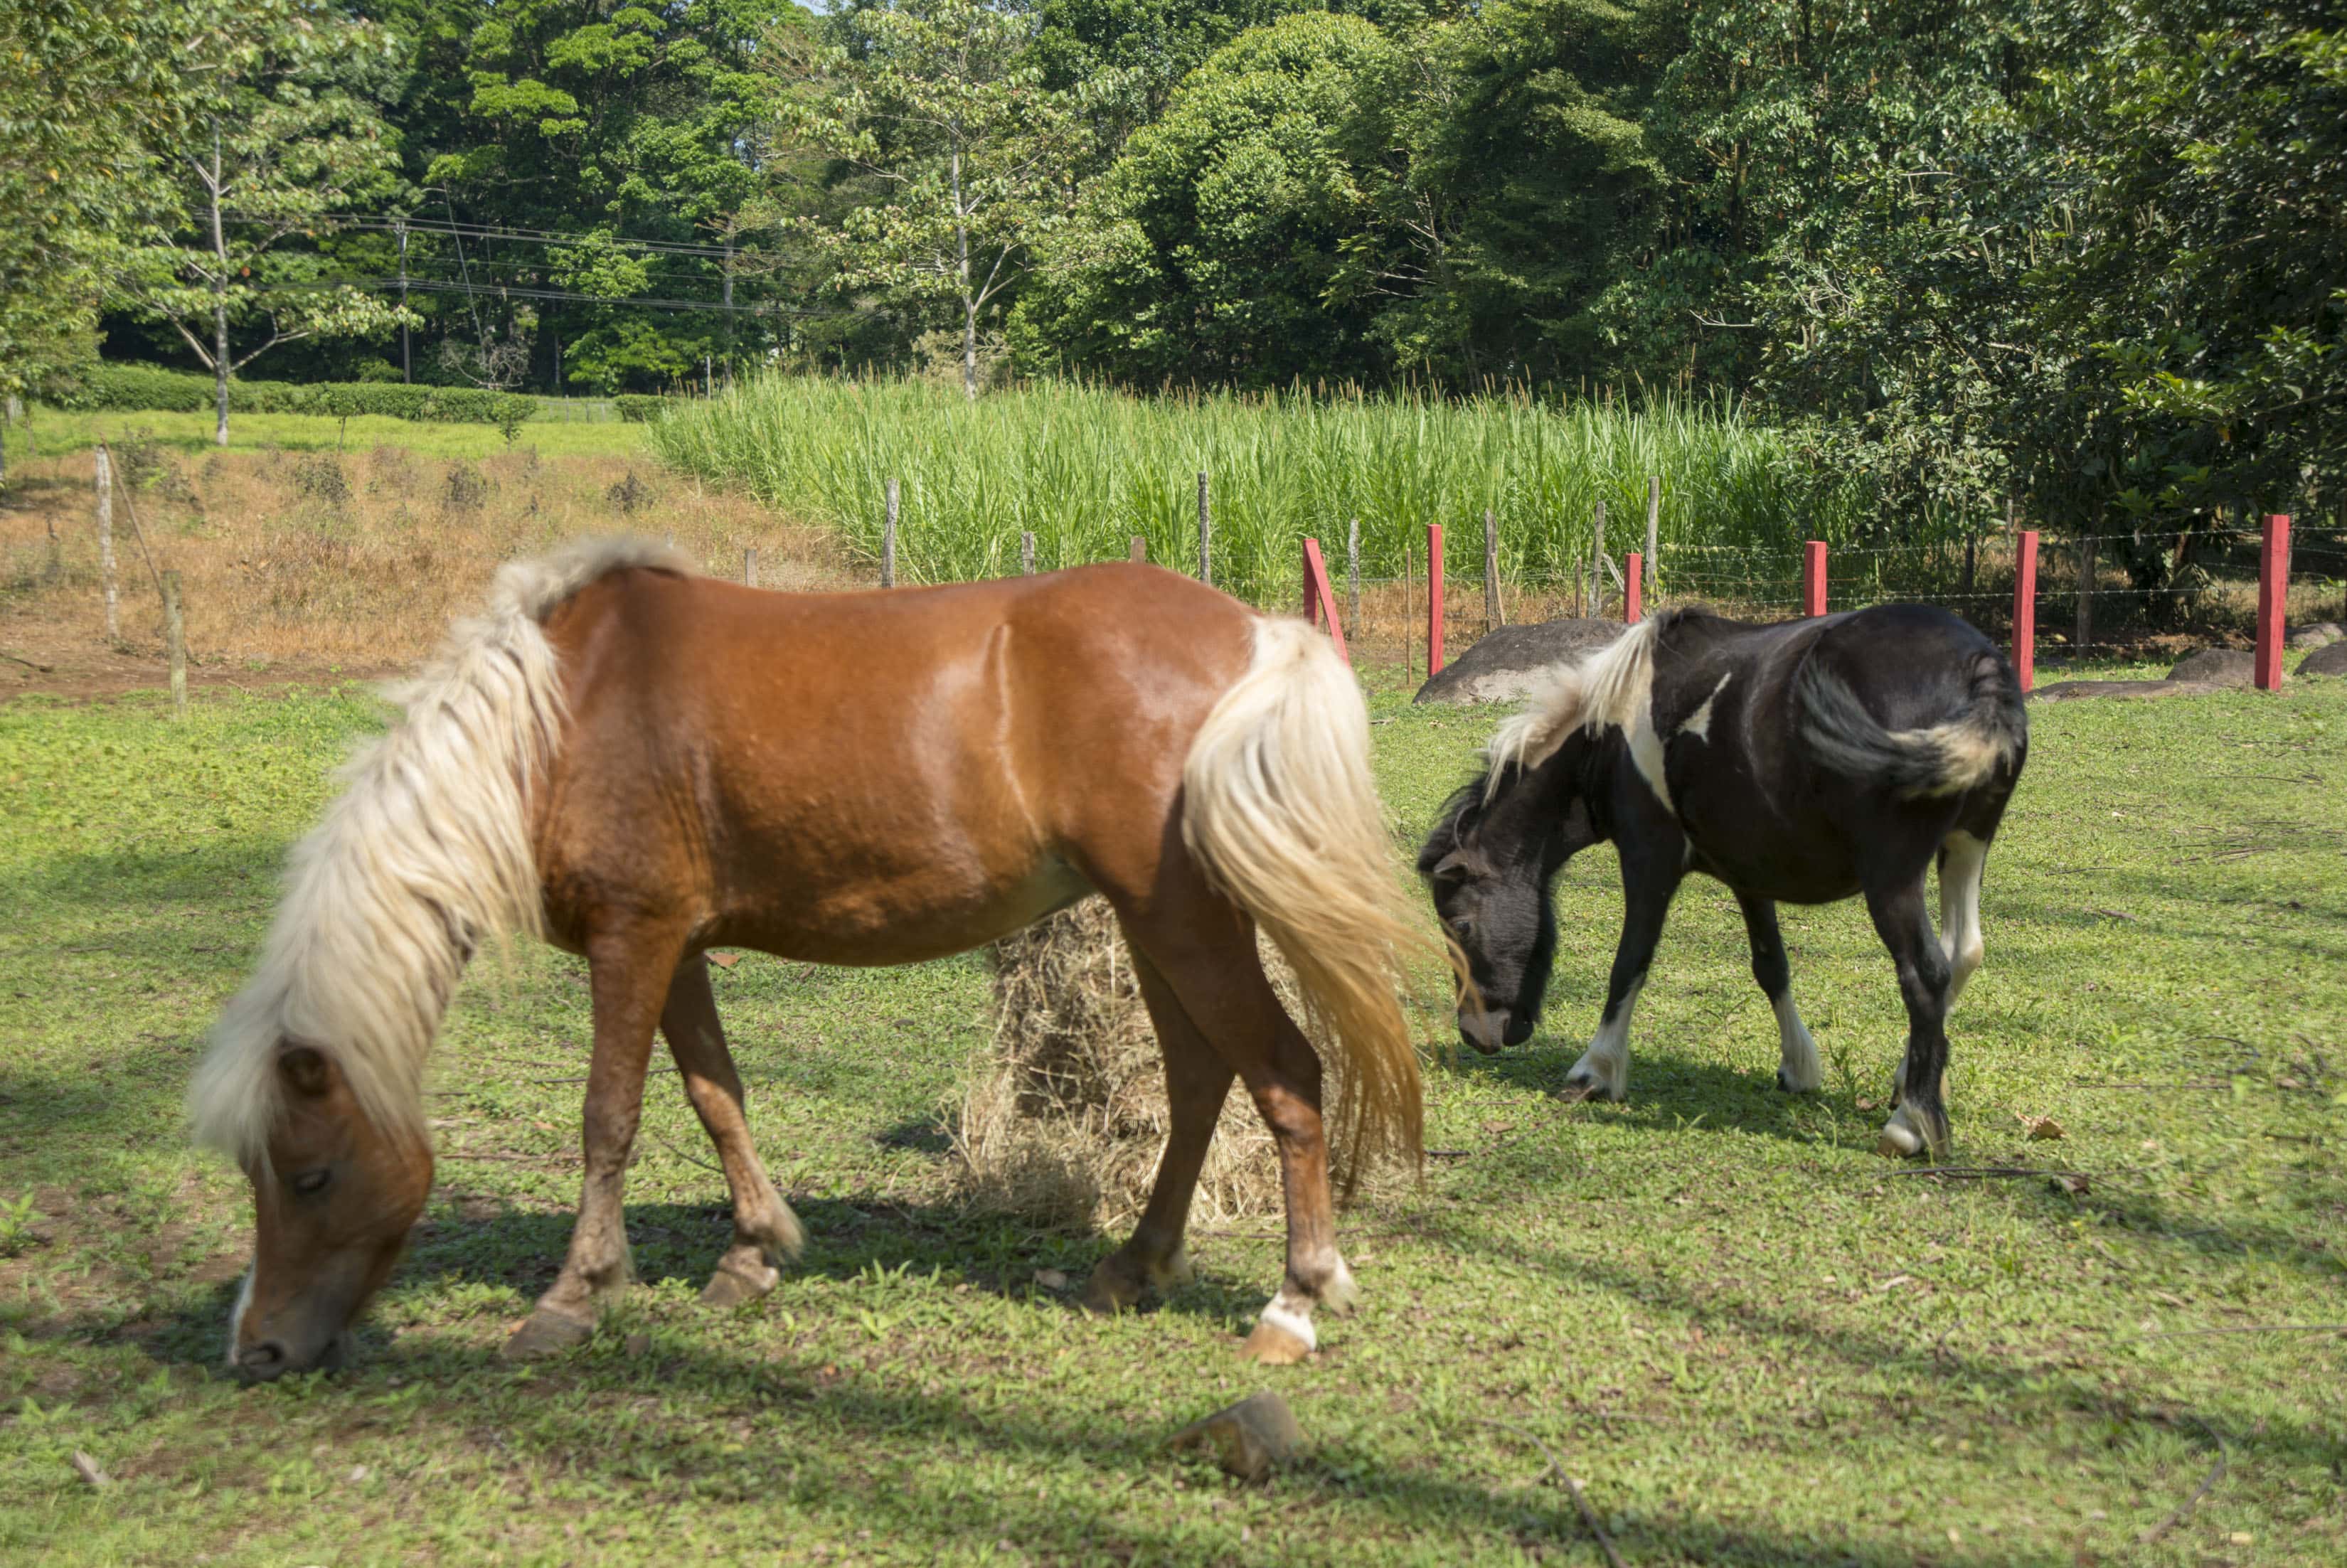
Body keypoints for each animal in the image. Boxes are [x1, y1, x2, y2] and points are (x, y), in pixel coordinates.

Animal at [192, 540, 1427, 1370]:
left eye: (310, 1173)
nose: (257, 1349)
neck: (555, 717)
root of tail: (1256, 633)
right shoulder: (677, 944)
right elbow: (714, 1094)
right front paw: (753, 1253)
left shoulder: (630, 938)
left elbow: (609, 1116)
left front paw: (573, 1296)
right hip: (1152, 919)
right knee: (1201, 1075)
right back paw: (1134, 1267)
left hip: (1182, 916)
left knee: (1284, 1073)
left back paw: (1294, 1302)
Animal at [1417, 605, 2028, 1159]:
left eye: (1459, 923)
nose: (1474, 1033)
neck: (1605, 737)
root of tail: (1978, 664)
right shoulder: (1748, 874)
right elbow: (1771, 966)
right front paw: (1798, 1066)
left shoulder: (1649, 860)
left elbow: (1629, 963)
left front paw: (1595, 1070)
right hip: (1967, 844)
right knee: (1963, 951)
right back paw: (1912, 1082)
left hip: (1893, 875)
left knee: (1926, 972)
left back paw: (1911, 1122)